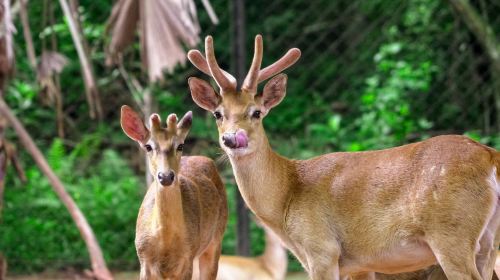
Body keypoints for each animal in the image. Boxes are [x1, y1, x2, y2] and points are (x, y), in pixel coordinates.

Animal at [119, 105, 229, 280]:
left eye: (180, 146)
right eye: (148, 146)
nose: (165, 176)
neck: (165, 241)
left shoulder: (187, 258)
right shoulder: (144, 260)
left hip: (216, 239)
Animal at [187, 35, 500, 280]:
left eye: (256, 112)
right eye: (218, 114)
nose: (232, 139)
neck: (288, 195)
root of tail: (490, 157)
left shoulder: (322, 249)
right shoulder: (360, 264)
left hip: (451, 233)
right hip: (488, 241)